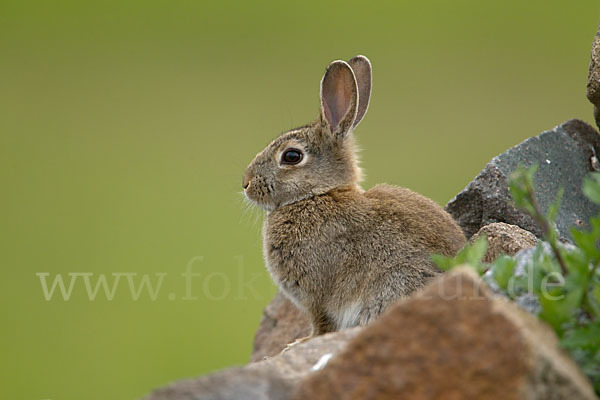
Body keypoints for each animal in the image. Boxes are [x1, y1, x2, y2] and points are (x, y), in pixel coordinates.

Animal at [241, 55, 466, 338]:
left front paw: (300, 342)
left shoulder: (316, 295)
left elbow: (320, 323)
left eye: (292, 156)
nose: (246, 183)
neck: (316, 195)